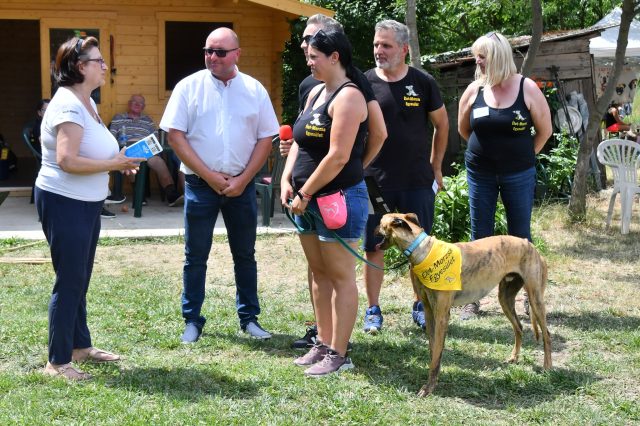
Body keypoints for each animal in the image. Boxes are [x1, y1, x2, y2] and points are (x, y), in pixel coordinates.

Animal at [377, 213, 552, 396]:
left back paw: (547, 367)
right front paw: (433, 380)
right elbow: (433, 350)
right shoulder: (429, 311)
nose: (370, 228)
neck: (424, 251)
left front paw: (428, 387)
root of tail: (532, 246)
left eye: (380, 223)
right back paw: (514, 357)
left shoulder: (442, 315)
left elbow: (436, 353)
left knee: (546, 333)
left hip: (535, 299)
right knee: (519, 327)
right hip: (505, 298)